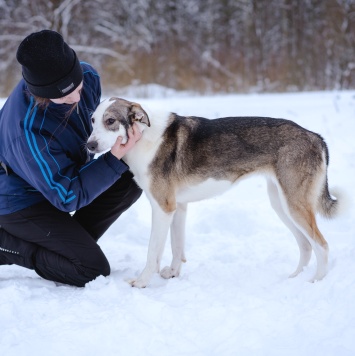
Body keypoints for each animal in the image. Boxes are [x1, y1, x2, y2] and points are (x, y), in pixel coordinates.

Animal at [86, 97, 340, 290]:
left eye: (110, 121)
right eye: (92, 121)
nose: (89, 145)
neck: (144, 137)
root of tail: (315, 136)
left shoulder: (163, 208)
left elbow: (152, 253)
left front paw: (141, 282)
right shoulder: (178, 207)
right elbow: (177, 246)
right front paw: (173, 273)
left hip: (294, 205)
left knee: (322, 245)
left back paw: (315, 281)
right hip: (281, 204)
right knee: (306, 246)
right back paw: (294, 279)